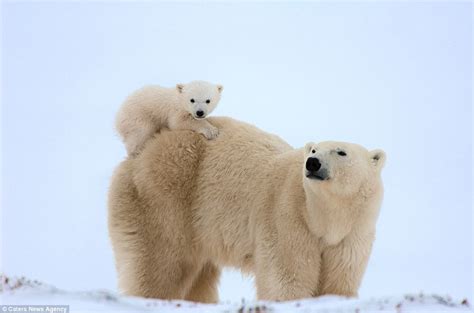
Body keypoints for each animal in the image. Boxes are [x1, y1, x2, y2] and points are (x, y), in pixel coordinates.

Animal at [107, 116, 386, 302]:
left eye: (341, 152)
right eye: (315, 149)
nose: (312, 162)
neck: (323, 216)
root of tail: (150, 142)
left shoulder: (353, 233)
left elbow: (339, 278)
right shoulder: (288, 218)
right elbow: (288, 277)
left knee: (198, 276)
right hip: (164, 200)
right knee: (159, 264)